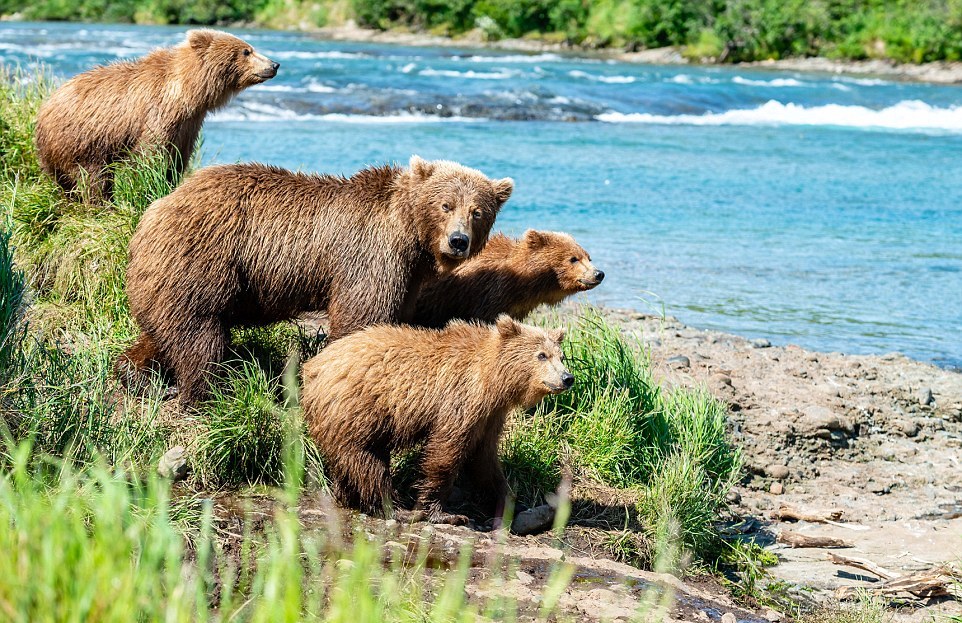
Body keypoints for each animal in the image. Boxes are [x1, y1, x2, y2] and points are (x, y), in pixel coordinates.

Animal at [33, 29, 274, 200]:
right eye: (247, 51)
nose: (274, 65)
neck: (187, 92)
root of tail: (44, 109)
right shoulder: (157, 113)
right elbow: (150, 155)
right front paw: (148, 186)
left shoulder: (189, 124)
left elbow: (177, 159)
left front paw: (170, 182)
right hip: (82, 140)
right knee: (91, 177)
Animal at [122, 156, 510, 404]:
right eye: (445, 205)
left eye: (477, 212)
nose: (458, 240)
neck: (409, 236)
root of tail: (155, 210)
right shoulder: (370, 254)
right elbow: (361, 314)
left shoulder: (407, 274)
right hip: (204, 258)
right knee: (199, 332)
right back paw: (204, 391)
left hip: (167, 277)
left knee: (164, 329)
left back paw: (135, 371)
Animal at [300, 316, 568, 528]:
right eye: (541, 355)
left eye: (561, 355)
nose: (568, 378)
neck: (492, 381)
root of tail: (312, 367)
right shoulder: (460, 399)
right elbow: (445, 453)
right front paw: (444, 513)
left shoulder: (490, 417)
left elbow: (485, 461)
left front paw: (510, 501)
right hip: (357, 409)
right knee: (366, 460)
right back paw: (396, 509)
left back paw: (346, 496)